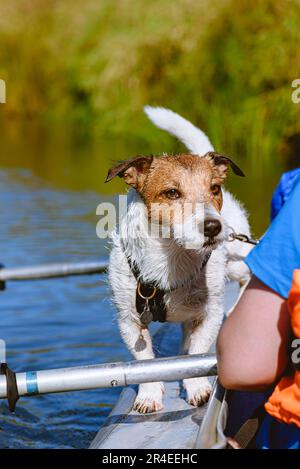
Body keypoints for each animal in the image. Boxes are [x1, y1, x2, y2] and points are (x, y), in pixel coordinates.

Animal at [106, 107, 252, 414]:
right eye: (172, 193)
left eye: (215, 188)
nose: (214, 227)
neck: (172, 256)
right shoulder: (129, 321)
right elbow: (145, 362)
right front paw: (149, 394)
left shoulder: (209, 313)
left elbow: (197, 353)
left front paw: (196, 387)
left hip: (237, 262)